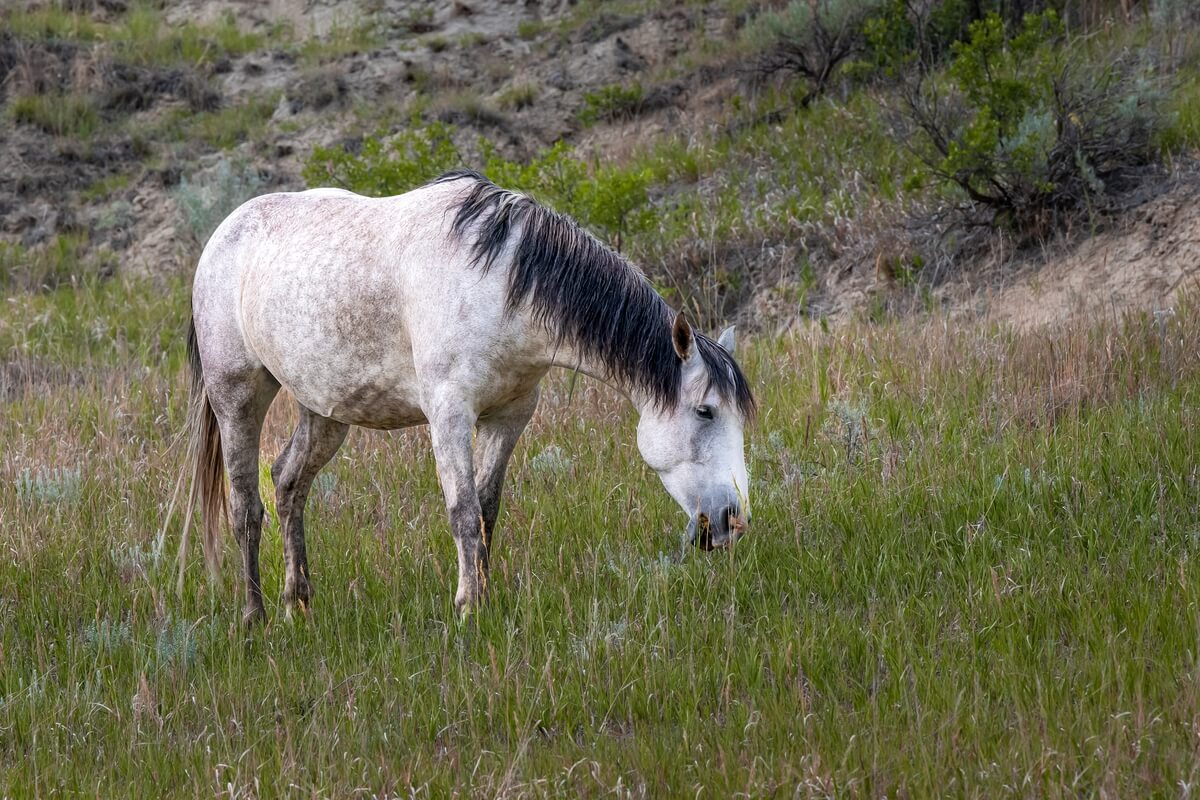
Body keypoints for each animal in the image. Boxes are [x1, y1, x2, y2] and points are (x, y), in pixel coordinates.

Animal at [182, 169, 755, 625]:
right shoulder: (449, 415)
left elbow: (487, 509)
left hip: (324, 412)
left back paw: (298, 601)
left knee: (287, 484)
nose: (731, 522)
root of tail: (222, 235)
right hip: (238, 397)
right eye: (704, 411)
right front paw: (467, 609)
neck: (500, 284)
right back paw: (254, 618)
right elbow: (462, 511)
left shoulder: (510, 416)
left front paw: (486, 597)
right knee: (245, 508)